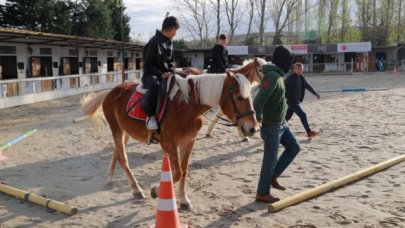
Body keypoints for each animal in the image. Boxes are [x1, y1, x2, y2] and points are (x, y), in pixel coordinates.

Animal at [81, 71, 258, 210]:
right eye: (239, 97)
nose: (253, 128)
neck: (186, 107)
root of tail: (112, 91)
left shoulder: (188, 142)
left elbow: (184, 171)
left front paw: (184, 200)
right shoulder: (169, 144)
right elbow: (177, 172)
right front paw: (156, 191)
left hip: (126, 131)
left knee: (116, 152)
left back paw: (110, 178)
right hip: (116, 129)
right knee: (123, 157)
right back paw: (136, 189)